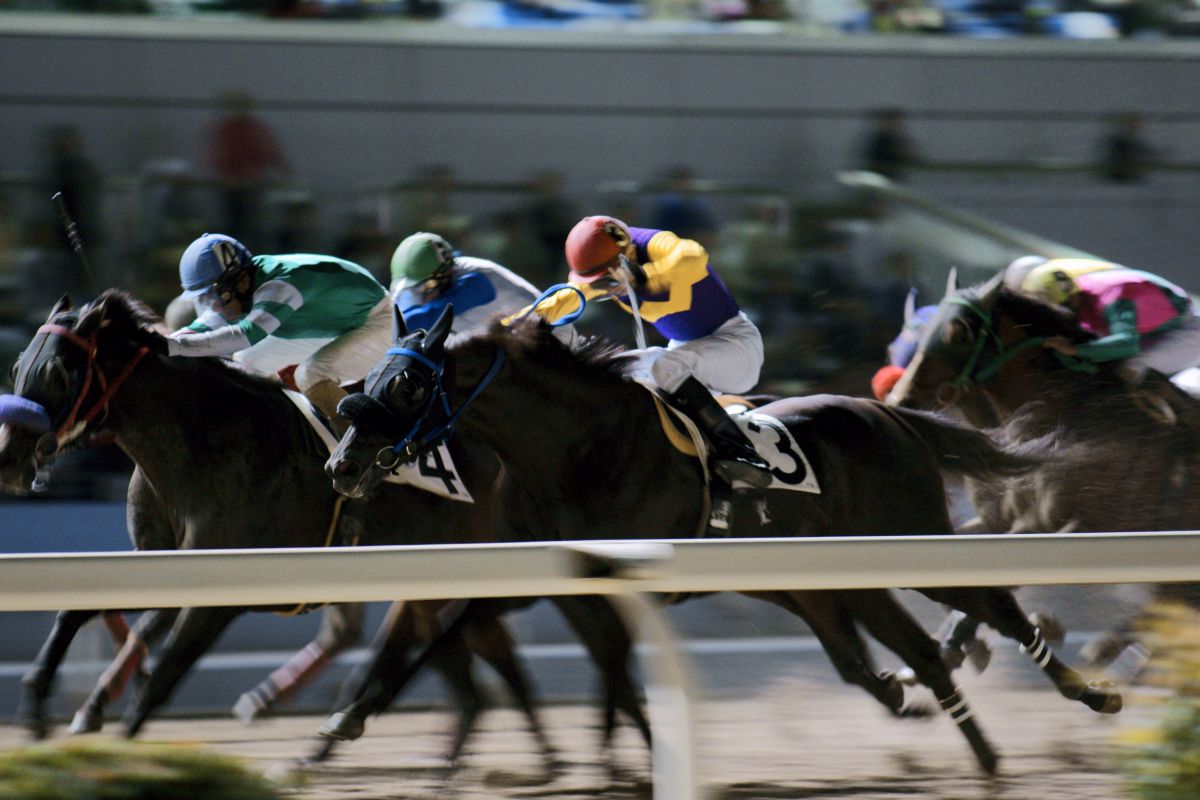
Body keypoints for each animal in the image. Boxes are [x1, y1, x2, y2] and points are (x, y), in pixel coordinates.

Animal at [0, 292, 643, 767]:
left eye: (59, 371)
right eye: (17, 364)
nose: (9, 458)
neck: (199, 439)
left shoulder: (221, 593)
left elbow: (163, 673)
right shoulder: (157, 558)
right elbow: (79, 609)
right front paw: (37, 707)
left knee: (480, 649)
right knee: (459, 655)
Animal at [321, 307, 1123, 777]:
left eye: (405, 387)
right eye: (367, 377)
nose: (343, 466)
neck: (577, 447)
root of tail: (890, 415)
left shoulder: (612, 582)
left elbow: (608, 672)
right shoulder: (553, 582)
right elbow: (472, 639)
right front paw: (346, 720)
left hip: (914, 539)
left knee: (995, 606)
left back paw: (1088, 694)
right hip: (831, 579)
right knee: (912, 653)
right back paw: (974, 748)